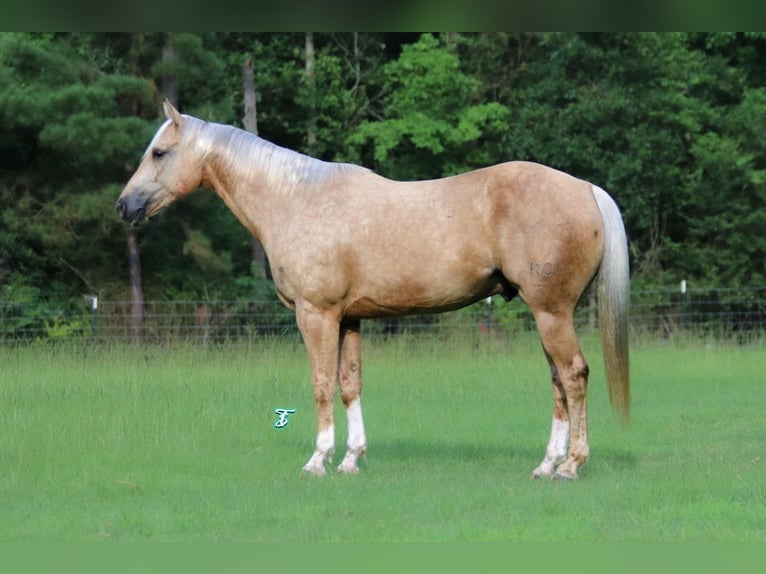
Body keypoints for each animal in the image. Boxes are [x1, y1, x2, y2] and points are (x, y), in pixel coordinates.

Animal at [118, 100, 632, 482]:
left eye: (159, 152)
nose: (125, 206)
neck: (297, 199)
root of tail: (586, 188)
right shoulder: (349, 318)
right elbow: (350, 385)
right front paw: (351, 459)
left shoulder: (317, 315)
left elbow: (321, 384)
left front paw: (318, 460)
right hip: (547, 314)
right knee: (558, 382)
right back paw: (547, 464)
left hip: (551, 312)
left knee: (574, 376)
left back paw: (571, 465)